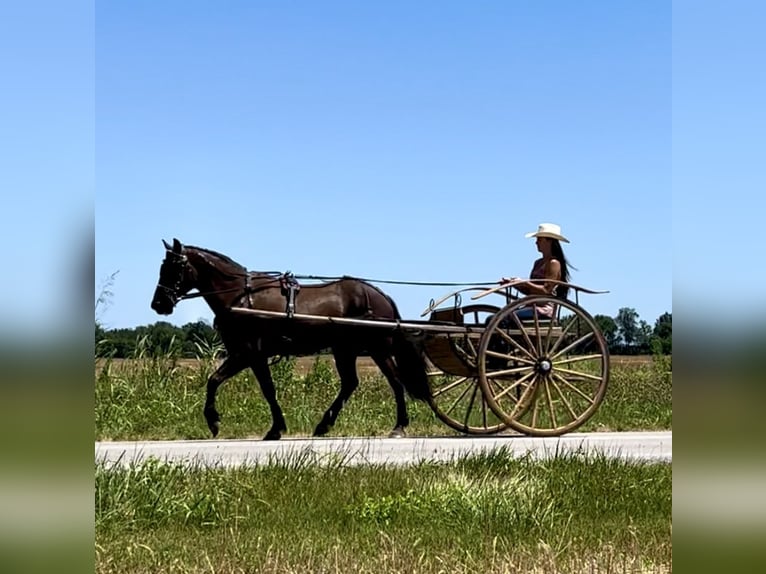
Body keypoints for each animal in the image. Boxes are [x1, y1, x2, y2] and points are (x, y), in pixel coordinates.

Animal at [150, 238, 432, 440]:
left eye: (173, 267)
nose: (158, 304)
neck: (240, 296)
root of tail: (379, 295)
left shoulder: (248, 353)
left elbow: (226, 382)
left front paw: (217, 421)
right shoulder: (248, 354)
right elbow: (241, 384)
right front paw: (273, 427)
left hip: (377, 348)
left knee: (395, 382)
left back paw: (399, 426)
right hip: (345, 349)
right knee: (351, 383)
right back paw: (324, 425)